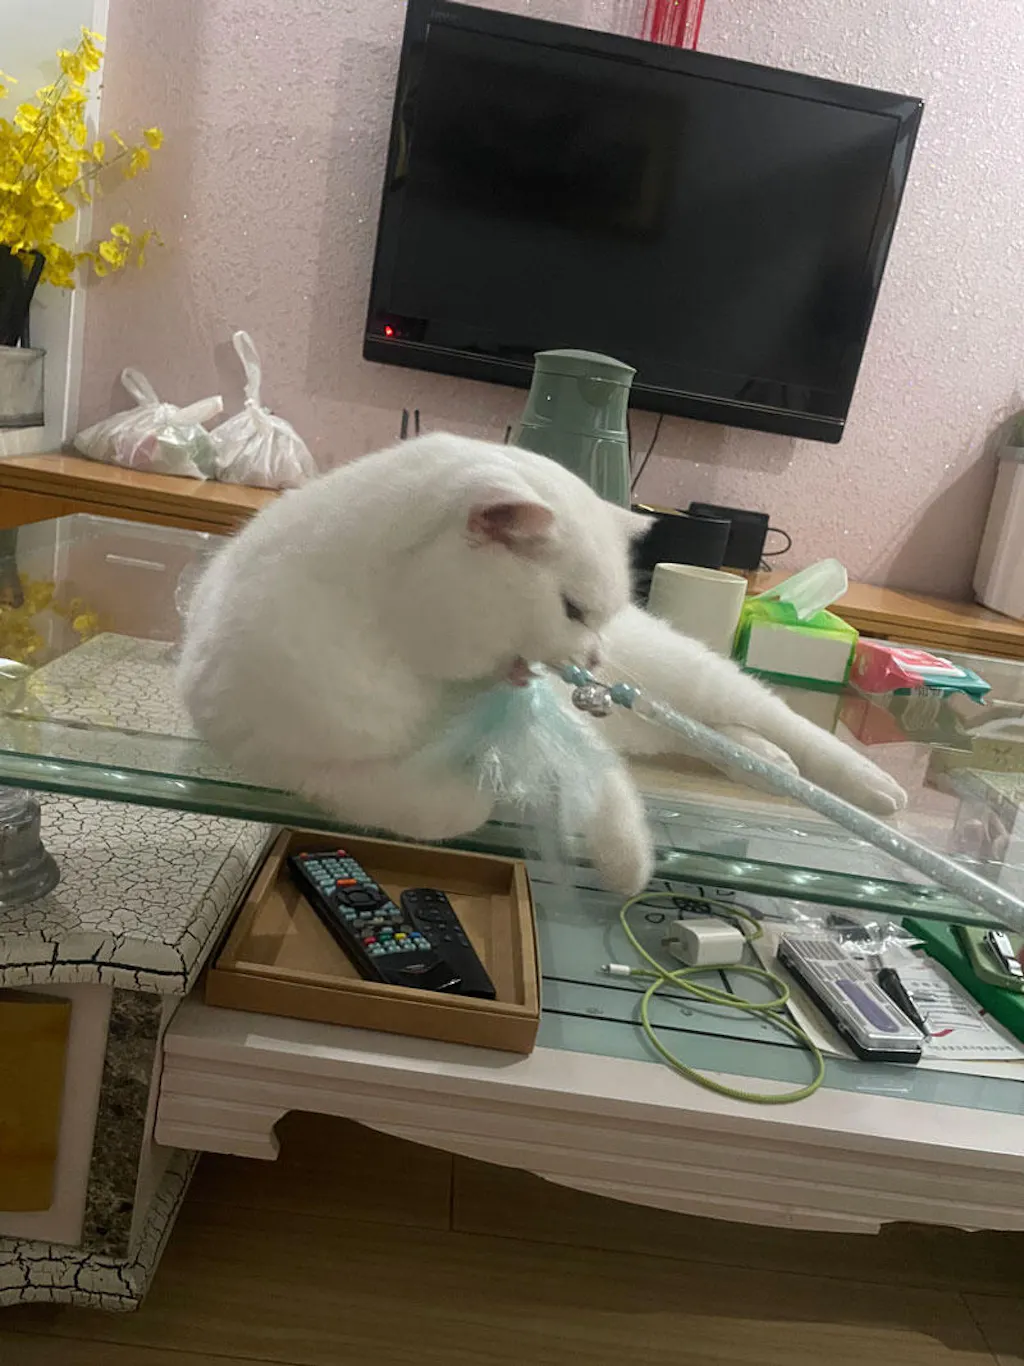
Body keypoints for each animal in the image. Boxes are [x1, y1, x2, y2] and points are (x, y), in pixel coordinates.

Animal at [177, 432, 906, 896]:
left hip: (689, 681)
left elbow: (609, 794)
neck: (416, 665)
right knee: (719, 742)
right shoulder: (300, 764)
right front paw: (475, 799)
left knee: (782, 724)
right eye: (575, 610)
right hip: (656, 722)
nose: (596, 659)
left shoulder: (561, 718)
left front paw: (627, 866)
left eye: (598, 614)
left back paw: (876, 790)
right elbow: (438, 807)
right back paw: (770, 767)